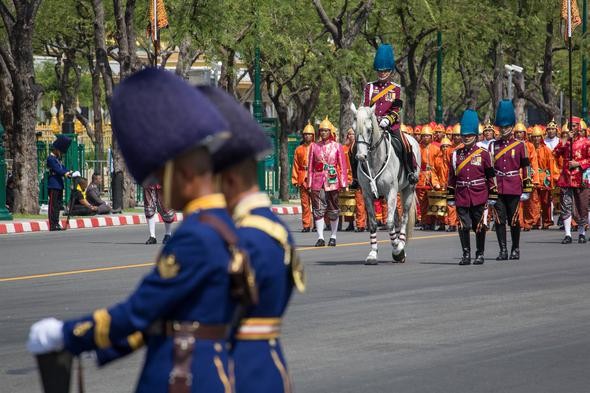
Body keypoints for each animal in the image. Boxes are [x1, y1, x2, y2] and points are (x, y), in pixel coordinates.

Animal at [352, 104, 420, 264]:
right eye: (354, 129)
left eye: (369, 129)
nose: (361, 156)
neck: (374, 160)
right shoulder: (367, 194)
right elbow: (373, 223)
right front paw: (373, 253)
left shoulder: (391, 191)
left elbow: (389, 223)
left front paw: (397, 250)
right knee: (396, 218)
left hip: (408, 190)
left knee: (403, 217)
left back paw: (401, 244)